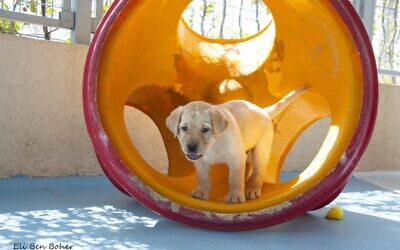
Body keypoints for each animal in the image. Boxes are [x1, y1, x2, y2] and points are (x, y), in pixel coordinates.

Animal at [165, 86, 306, 203]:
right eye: (184, 128)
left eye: (205, 129)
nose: (191, 147)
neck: (213, 145)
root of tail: (263, 110)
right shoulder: (201, 162)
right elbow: (203, 177)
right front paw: (201, 191)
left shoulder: (236, 158)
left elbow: (234, 178)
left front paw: (235, 195)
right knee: (249, 163)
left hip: (261, 149)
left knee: (258, 171)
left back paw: (253, 189)